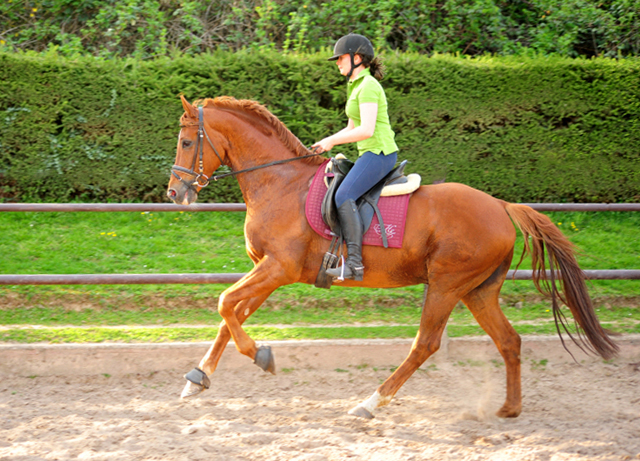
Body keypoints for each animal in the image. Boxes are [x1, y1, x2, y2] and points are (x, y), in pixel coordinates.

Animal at [168, 95, 616, 418]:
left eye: (187, 142)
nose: (175, 193)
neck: (280, 183)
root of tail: (502, 206)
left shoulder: (278, 267)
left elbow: (225, 303)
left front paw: (262, 356)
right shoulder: (267, 269)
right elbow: (232, 314)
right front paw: (198, 377)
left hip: (446, 285)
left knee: (426, 344)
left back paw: (370, 402)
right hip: (478, 291)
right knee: (508, 340)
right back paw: (509, 408)